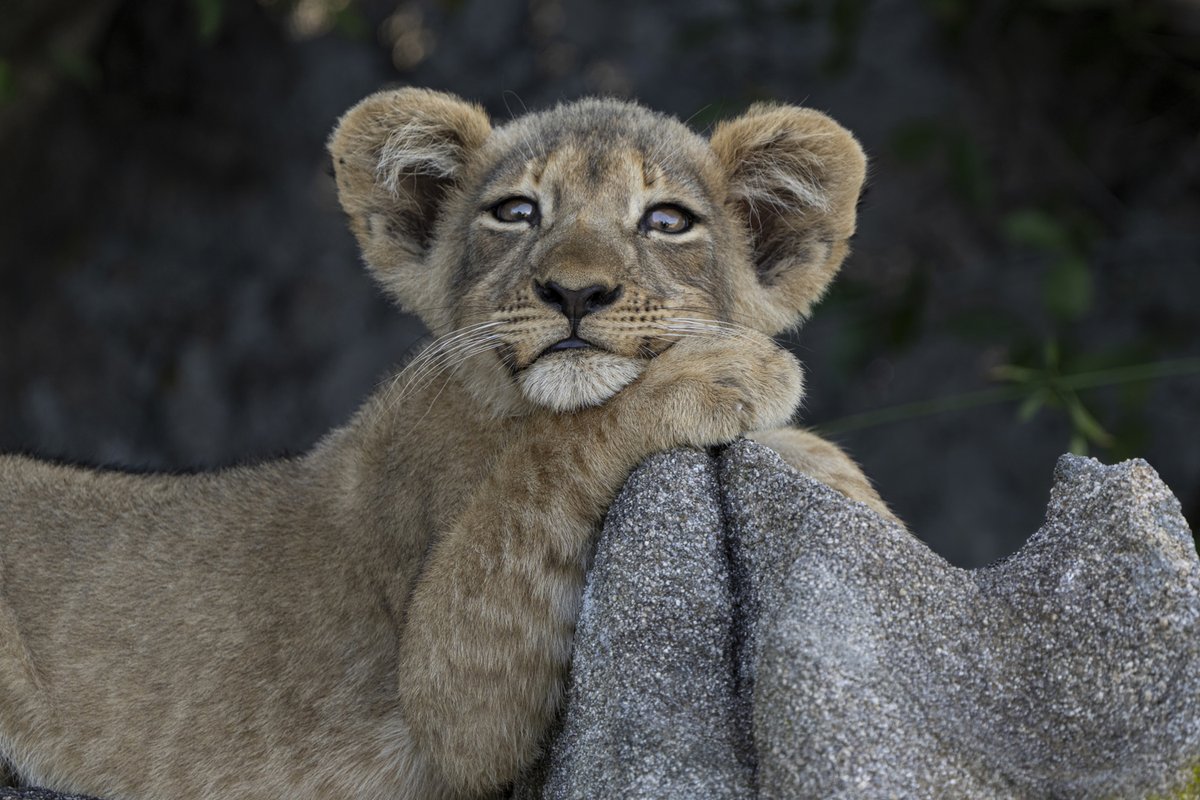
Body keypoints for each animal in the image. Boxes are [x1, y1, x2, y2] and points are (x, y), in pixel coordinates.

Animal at [0, 88, 891, 799]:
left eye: (667, 221)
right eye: (517, 212)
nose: (575, 292)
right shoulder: (448, 695)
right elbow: (555, 449)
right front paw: (726, 372)